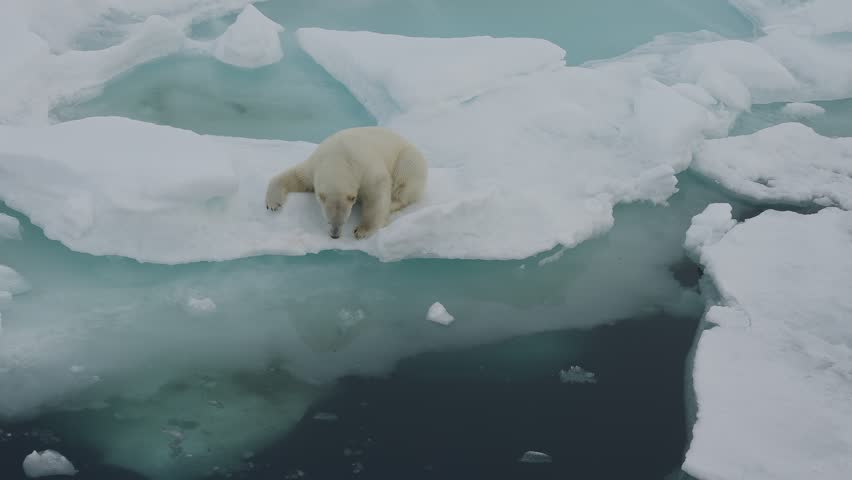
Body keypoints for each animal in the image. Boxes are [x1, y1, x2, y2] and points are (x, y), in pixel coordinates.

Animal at [265, 126, 428, 239]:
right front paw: (273, 204)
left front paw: (362, 230)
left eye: (344, 221)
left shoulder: (366, 169)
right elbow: (297, 176)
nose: (335, 236)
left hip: (409, 159)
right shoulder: (315, 165)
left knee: (404, 183)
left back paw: (392, 203)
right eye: (328, 221)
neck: (339, 158)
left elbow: (377, 192)